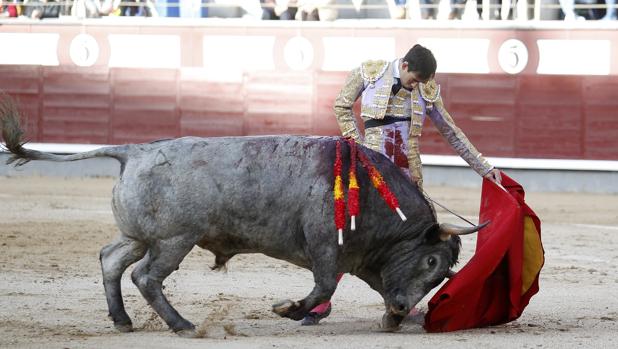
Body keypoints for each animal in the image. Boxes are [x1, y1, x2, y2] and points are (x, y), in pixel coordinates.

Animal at [0, 96, 482, 336]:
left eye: (439, 274)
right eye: (431, 261)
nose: (402, 307)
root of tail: (133, 150)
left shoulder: (359, 260)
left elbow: (358, 284)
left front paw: (388, 318)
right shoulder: (327, 247)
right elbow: (323, 284)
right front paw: (290, 309)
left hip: (138, 236)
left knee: (111, 260)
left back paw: (122, 321)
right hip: (174, 240)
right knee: (146, 276)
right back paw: (182, 326)